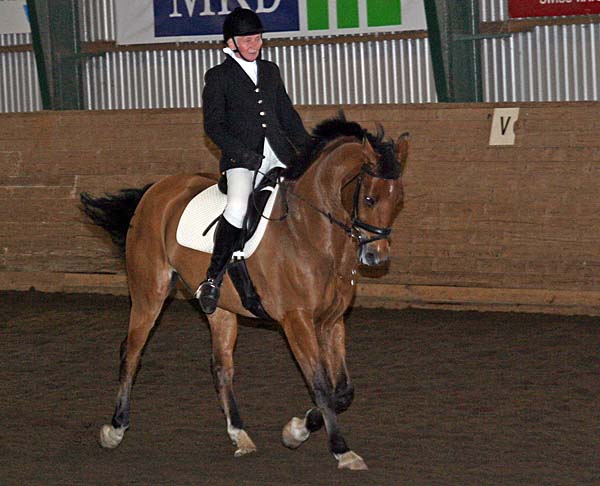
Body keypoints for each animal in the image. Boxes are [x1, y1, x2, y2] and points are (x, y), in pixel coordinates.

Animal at [80, 114, 409, 471]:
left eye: (398, 200)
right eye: (369, 199)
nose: (376, 256)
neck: (311, 232)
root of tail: (156, 190)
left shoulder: (332, 321)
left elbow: (343, 390)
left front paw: (298, 429)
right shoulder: (297, 320)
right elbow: (321, 385)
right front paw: (337, 448)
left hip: (220, 309)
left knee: (221, 367)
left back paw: (240, 435)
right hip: (149, 292)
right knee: (131, 351)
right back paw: (115, 428)